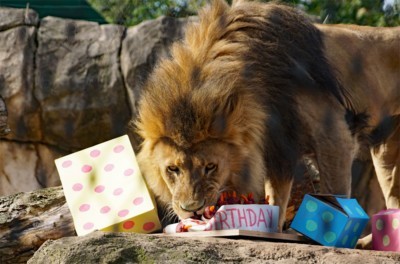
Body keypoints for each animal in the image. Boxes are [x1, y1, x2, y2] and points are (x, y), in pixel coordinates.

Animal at [133, 0, 398, 243]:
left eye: (210, 167)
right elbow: (276, 195)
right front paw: (274, 230)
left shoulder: (332, 131)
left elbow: (335, 191)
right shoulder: (278, 145)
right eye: (172, 169)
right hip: (387, 155)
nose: (192, 210)